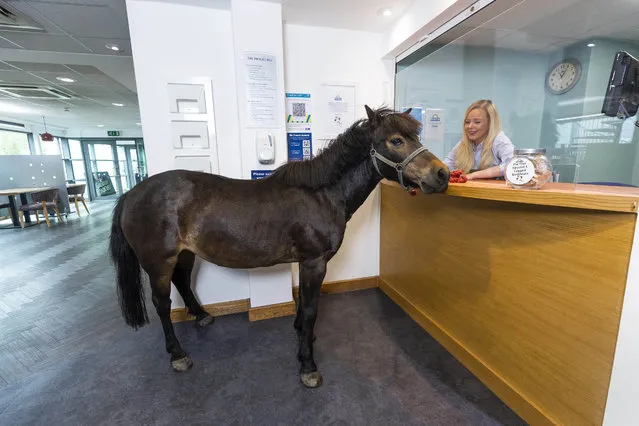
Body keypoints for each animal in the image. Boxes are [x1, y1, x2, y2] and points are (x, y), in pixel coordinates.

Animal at [109, 105, 450, 388]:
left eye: (415, 136)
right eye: (396, 140)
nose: (443, 174)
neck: (321, 194)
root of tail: (131, 194)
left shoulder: (306, 262)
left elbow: (303, 305)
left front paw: (302, 335)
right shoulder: (314, 261)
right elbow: (311, 309)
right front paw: (308, 365)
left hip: (185, 255)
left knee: (182, 282)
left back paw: (201, 315)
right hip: (158, 262)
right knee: (162, 304)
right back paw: (178, 354)